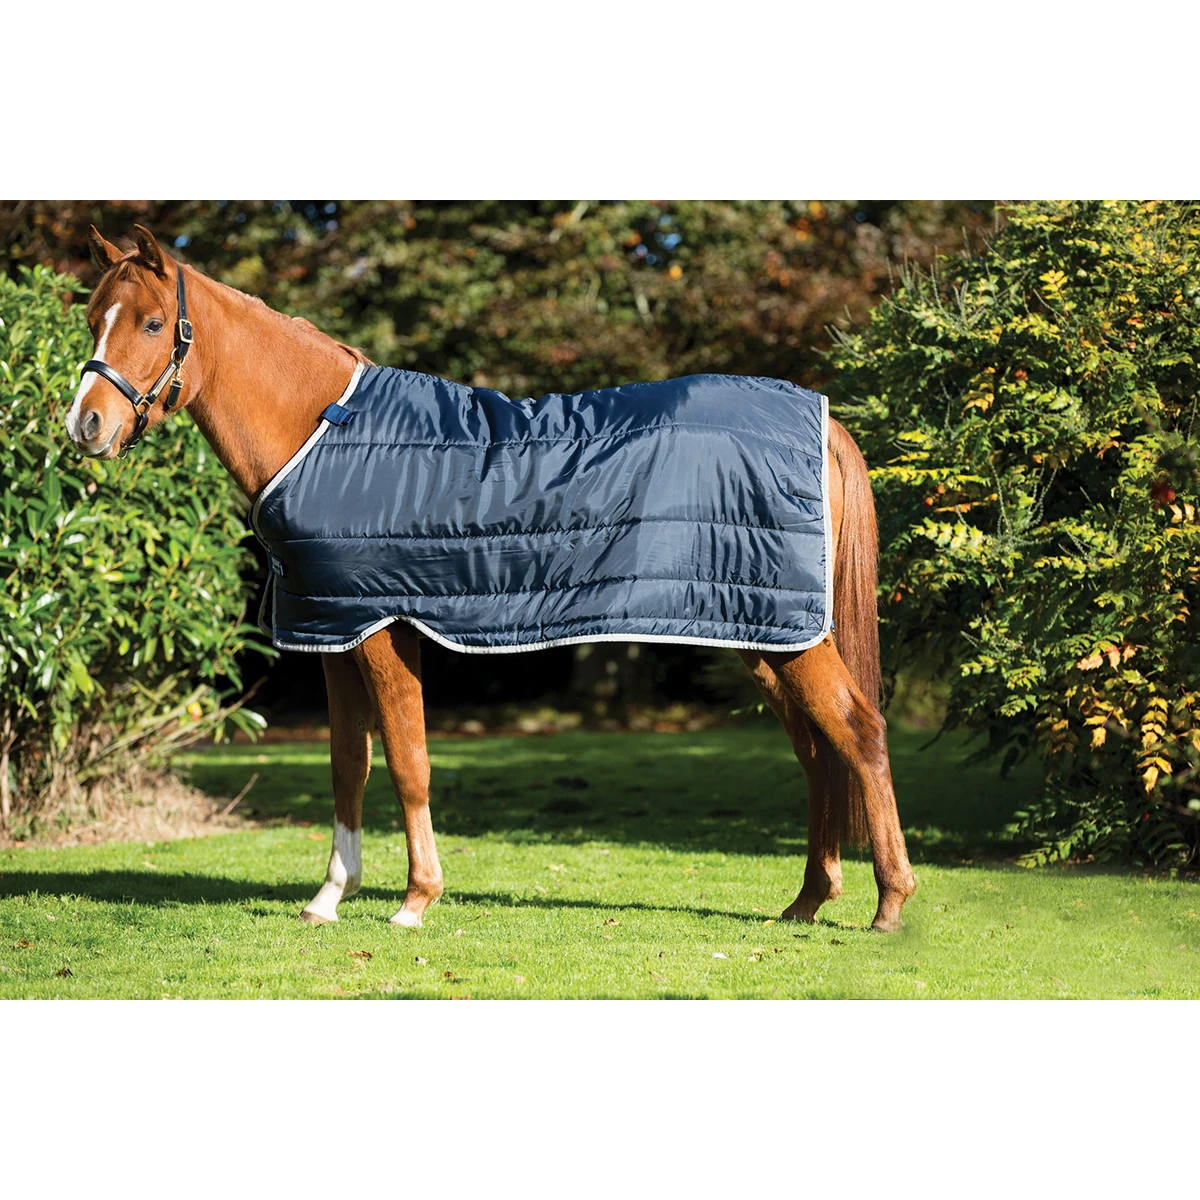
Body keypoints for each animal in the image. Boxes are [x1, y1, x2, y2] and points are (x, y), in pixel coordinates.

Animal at [65, 224, 917, 932]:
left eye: (150, 324)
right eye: (92, 319)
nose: (85, 425)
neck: (321, 431)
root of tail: (821, 420)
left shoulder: (383, 629)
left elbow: (408, 762)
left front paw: (416, 900)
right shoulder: (333, 630)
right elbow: (348, 766)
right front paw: (329, 896)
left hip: (787, 636)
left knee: (861, 734)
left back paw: (888, 905)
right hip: (759, 632)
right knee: (818, 749)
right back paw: (807, 901)